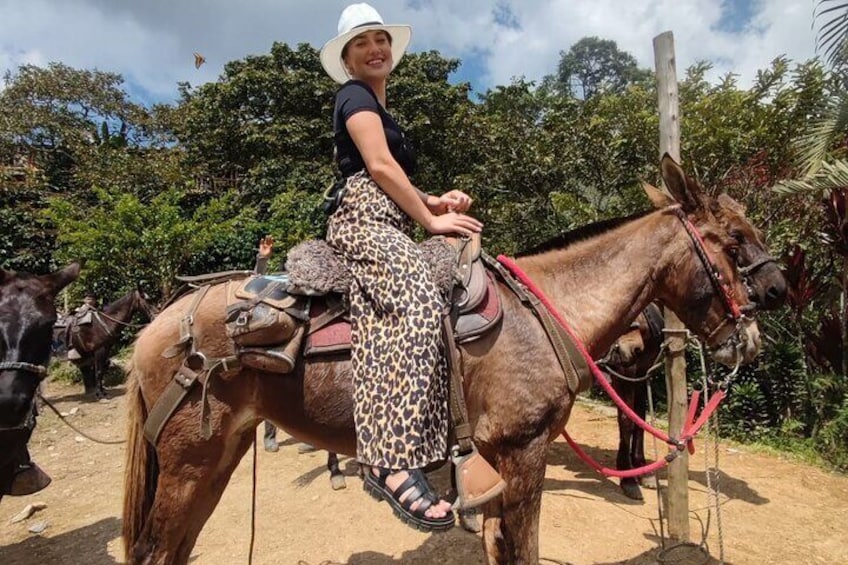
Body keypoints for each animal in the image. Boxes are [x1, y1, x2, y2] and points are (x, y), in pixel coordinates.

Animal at [122, 156, 784, 564]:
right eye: (734, 242)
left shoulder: (495, 465)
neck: (544, 314)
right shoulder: (524, 455)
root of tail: (158, 325)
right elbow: (524, 551)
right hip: (188, 461)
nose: (757, 329)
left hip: (218, 457)